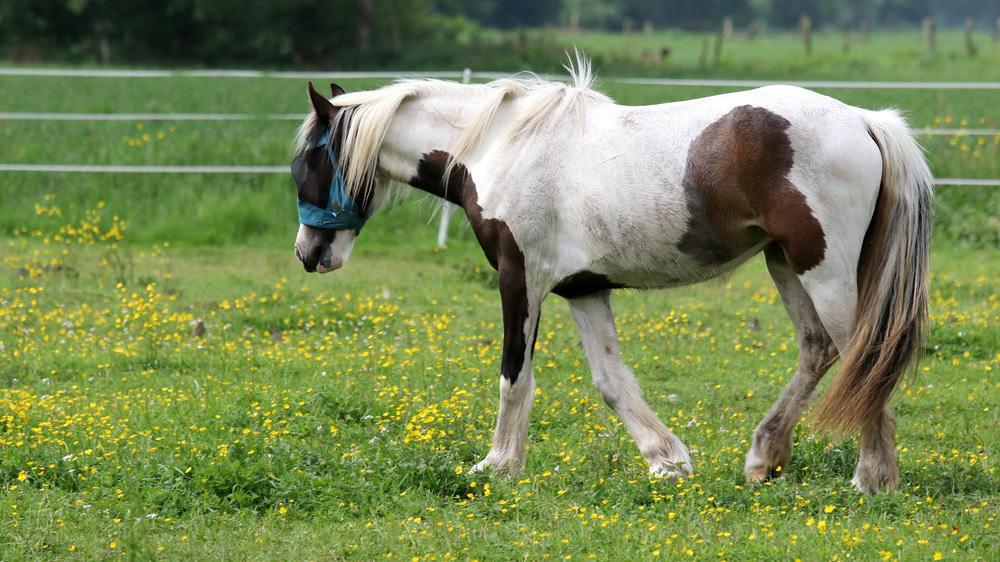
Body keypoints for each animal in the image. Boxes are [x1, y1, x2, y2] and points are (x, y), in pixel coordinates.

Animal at [290, 57, 932, 494]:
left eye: (310, 161)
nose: (308, 253)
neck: (500, 147)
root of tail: (865, 121)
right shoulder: (584, 288)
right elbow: (611, 383)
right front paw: (667, 460)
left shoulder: (520, 278)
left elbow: (514, 374)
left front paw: (498, 465)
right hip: (787, 264)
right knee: (819, 349)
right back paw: (764, 458)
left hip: (821, 268)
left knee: (864, 357)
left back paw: (871, 478)